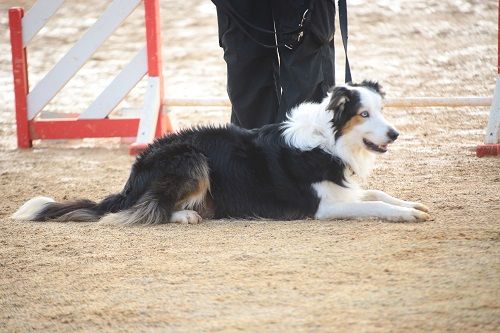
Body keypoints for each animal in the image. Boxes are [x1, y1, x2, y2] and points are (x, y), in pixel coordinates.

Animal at [11, 80, 430, 223]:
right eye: (364, 114)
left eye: (382, 110)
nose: (395, 134)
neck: (328, 140)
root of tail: (132, 178)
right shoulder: (322, 207)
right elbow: (373, 205)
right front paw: (406, 215)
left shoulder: (343, 190)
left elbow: (376, 194)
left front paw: (412, 204)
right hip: (192, 158)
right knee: (143, 211)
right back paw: (184, 216)